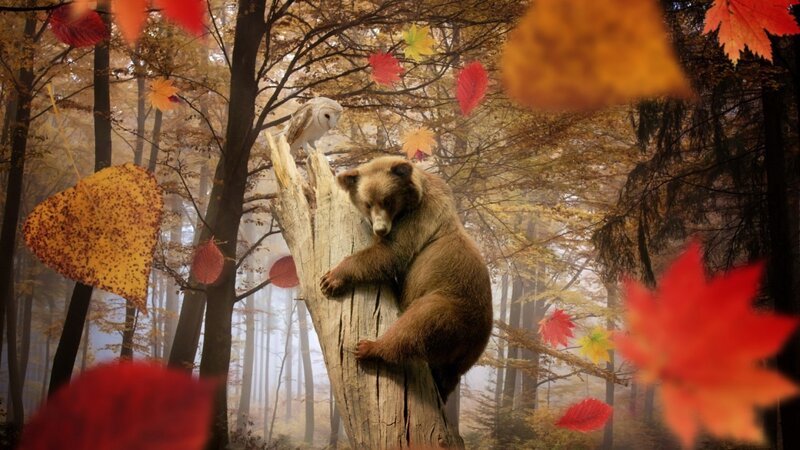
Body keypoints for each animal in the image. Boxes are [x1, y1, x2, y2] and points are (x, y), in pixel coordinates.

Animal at [319, 156, 493, 402]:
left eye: (387, 201)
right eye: (368, 203)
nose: (380, 229)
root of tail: (478, 341)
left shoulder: (418, 220)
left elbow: (390, 253)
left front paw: (331, 279)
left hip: (449, 307)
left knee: (415, 325)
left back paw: (369, 347)